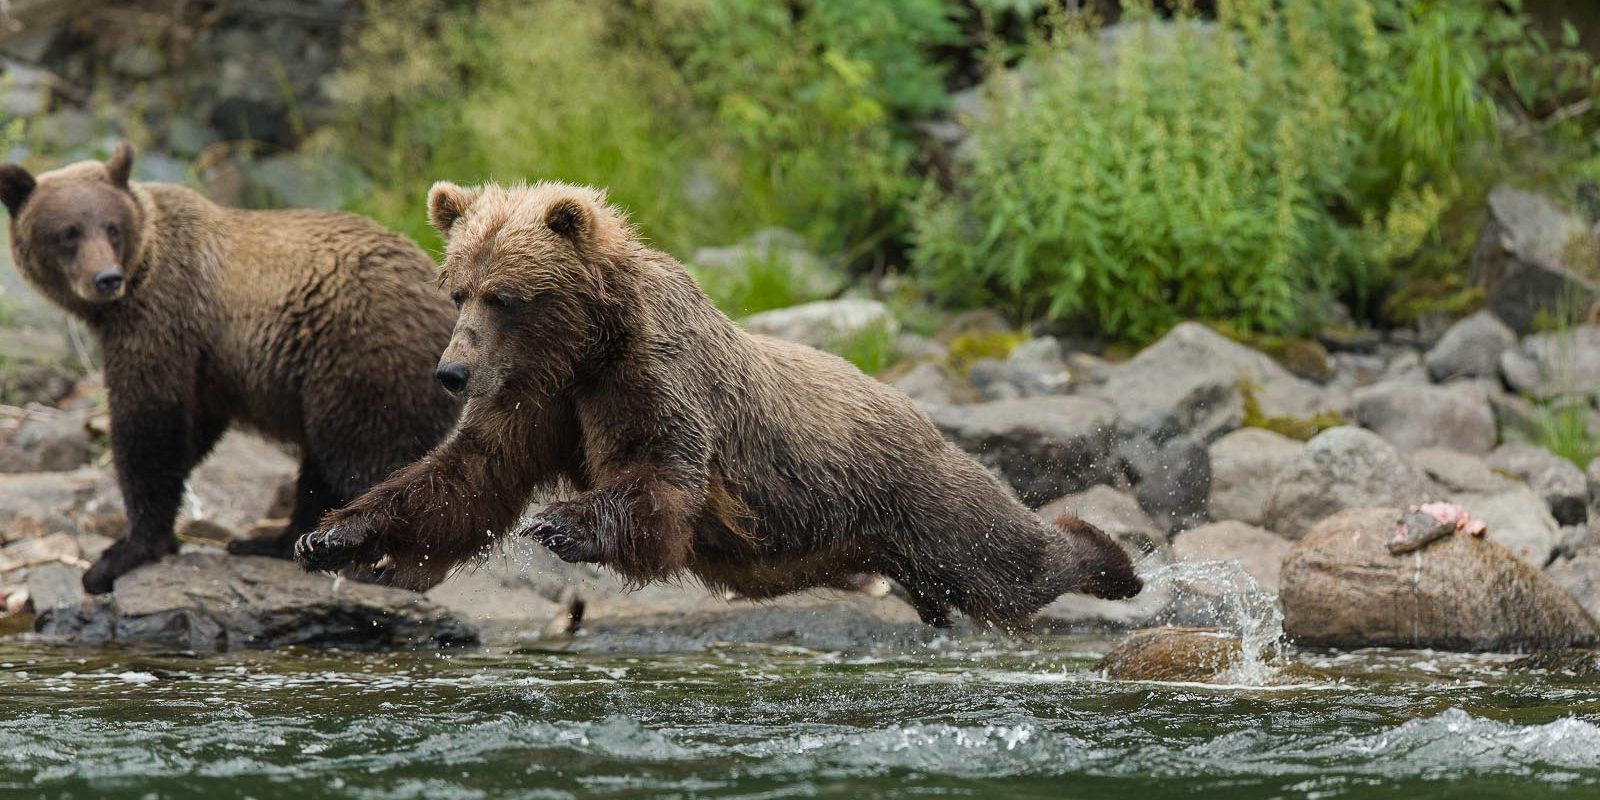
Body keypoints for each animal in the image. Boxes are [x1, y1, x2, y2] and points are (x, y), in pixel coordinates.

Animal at [0, 144, 464, 595]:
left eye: (112, 227)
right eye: (67, 233)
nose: (106, 278)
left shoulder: (162, 320)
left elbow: (147, 429)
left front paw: (117, 557)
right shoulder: (208, 366)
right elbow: (186, 434)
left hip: (362, 359)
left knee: (368, 455)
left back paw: (376, 565)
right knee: (321, 467)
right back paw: (274, 541)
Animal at [294, 180, 1145, 624]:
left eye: (504, 296)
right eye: (457, 288)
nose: (451, 372)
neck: (585, 348)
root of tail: (919, 411)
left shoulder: (653, 379)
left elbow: (662, 478)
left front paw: (561, 523)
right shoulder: (538, 402)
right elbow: (467, 477)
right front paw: (334, 534)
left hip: (916, 493)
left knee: (1000, 559)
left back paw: (1109, 556)